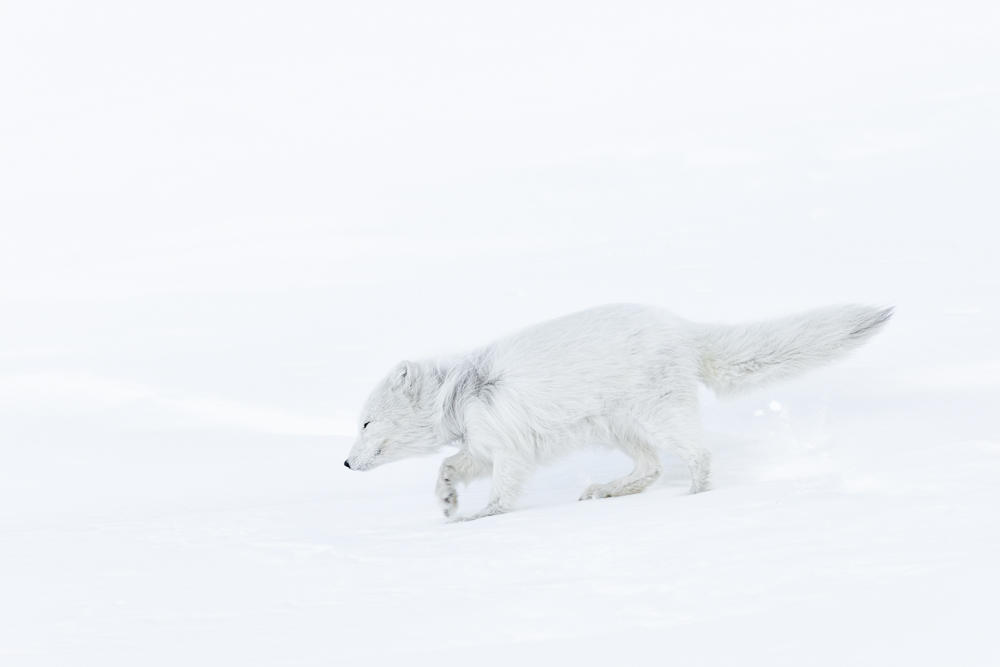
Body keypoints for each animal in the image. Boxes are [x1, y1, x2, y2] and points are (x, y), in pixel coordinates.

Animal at [344, 303, 893, 521]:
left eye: (365, 422)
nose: (345, 463)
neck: (461, 391)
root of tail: (681, 328)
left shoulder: (510, 448)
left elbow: (502, 492)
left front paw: (481, 517)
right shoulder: (481, 447)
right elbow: (448, 464)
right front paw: (446, 501)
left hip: (658, 417)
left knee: (697, 457)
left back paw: (696, 498)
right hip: (618, 428)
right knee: (650, 469)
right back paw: (605, 491)